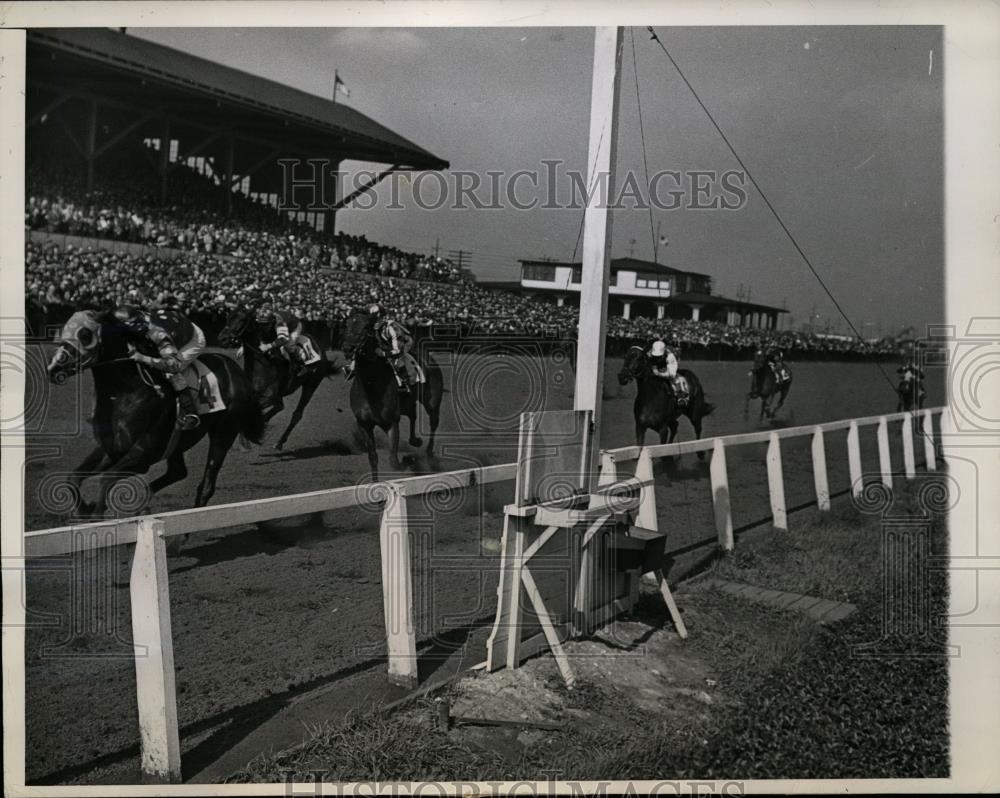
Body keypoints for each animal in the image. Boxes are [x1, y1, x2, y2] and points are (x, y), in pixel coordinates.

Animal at [46, 310, 266, 528]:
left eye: (85, 335)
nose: (54, 368)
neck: (126, 393)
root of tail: (235, 369)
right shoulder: (112, 450)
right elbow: (73, 477)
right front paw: (85, 509)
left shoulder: (143, 454)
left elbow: (107, 479)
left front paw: (97, 516)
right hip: (177, 442)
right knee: (178, 472)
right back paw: (143, 507)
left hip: (223, 432)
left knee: (206, 485)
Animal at [217, 308, 338, 450]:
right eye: (228, 318)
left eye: (242, 319)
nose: (222, 339)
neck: (263, 362)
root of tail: (320, 349)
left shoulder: (270, 396)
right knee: (281, 407)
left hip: (311, 384)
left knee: (297, 414)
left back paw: (279, 443)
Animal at [340, 310, 442, 478]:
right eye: (346, 325)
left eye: (365, 327)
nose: (348, 349)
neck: (370, 386)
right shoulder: (364, 424)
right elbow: (373, 458)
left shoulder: (392, 423)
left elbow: (394, 461)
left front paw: (409, 460)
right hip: (407, 402)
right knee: (413, 414)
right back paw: (415, 440)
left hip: (432, 401)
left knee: (434, 422)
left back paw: (429, 453)